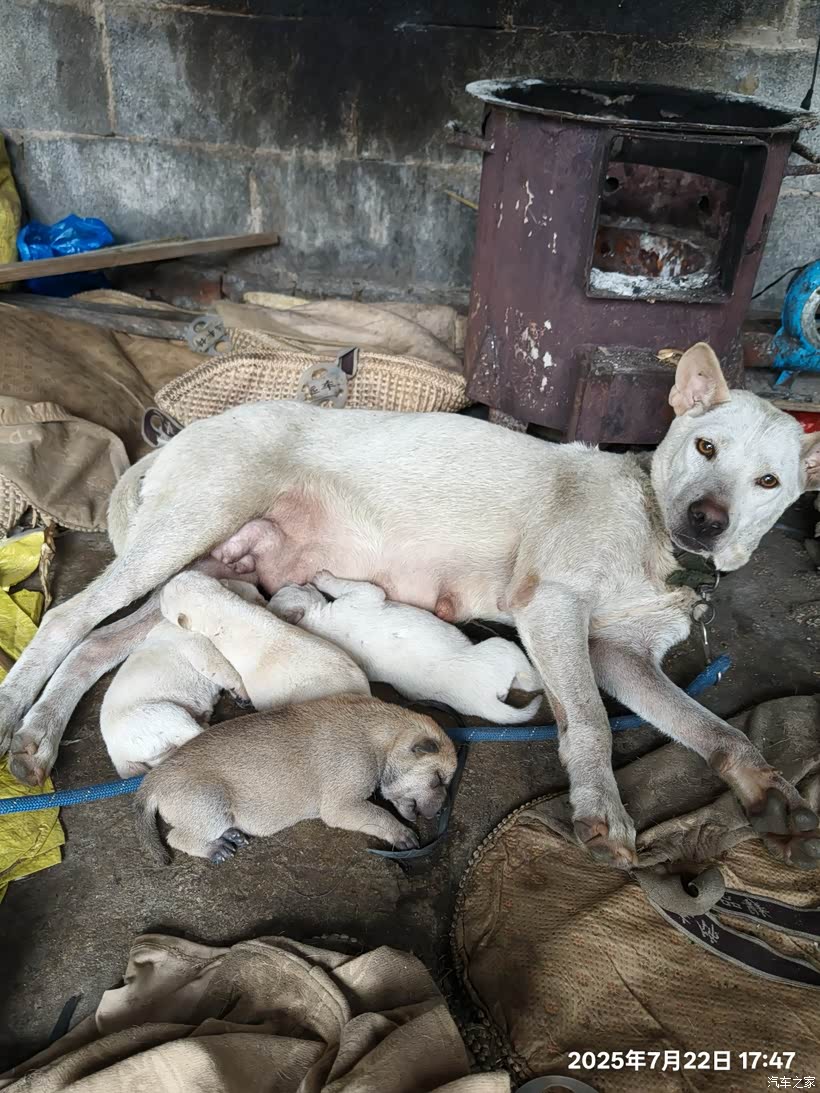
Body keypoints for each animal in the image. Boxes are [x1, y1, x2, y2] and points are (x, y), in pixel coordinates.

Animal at [134, 693, 458, 863]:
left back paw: (231, 836)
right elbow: (379, 815)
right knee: (178, 837)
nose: (444, 808)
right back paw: (215, 848)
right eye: (437, 779)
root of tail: (155, 780)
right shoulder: (343, 806)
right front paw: (401, 833)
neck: (382, 735)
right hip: (210, 804)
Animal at [269, 572, 542, 722]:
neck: (315, 622)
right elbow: (352, 585)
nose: (303, 582)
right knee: (528, 678)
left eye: (292, 586)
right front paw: (323, 578)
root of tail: (487, 703)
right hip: (502, 649)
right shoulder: (364, 595)